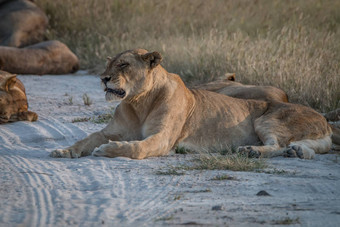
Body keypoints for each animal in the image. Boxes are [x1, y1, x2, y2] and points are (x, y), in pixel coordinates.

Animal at [51, 48, 332, 160]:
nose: (103, 78)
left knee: (277, 144)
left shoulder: (163, 138)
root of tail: (324, 119)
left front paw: (107, 150)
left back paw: (252, 151)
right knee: (302, 146)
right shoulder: (109, 131)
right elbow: (86, 139)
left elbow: (137, 148)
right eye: (109, 64)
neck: (138, 102)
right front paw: (64, 151)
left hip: (268, 119)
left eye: (123, 65)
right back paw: (296, 152)